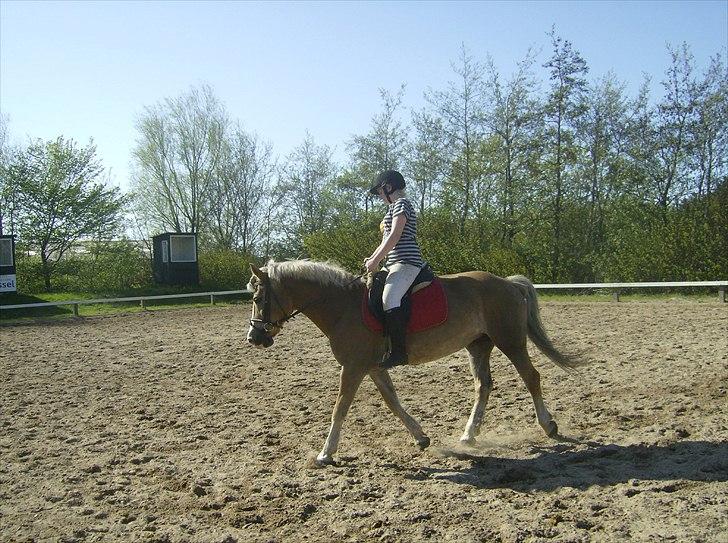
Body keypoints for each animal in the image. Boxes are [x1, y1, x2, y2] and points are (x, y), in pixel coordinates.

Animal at [247, 262, 584, 466]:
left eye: (259, 297)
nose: (254, 337)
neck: (343, 307)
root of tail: (509, 284)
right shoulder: (373, 367)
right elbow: (393, 402)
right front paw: (421, 437)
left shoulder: (353, 367)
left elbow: (339, 408)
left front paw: (325, 453)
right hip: (478, 345)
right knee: (484, 386)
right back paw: (469, 435)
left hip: (510, 341)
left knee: (531, 377)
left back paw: (548, 425)